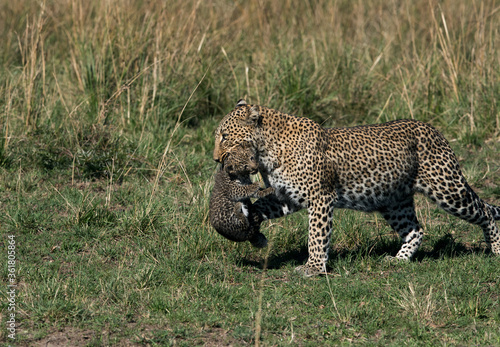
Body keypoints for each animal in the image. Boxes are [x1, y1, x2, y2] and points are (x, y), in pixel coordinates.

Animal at [213, 99, 500, 278]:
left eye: (225, 137)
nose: (216, 159)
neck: (266, 152)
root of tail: (433, 128)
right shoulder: (289, 196)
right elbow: (261, 205)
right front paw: (249, 221)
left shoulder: (320, 197)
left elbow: (316, 236)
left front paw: (313, 268)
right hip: (394, 201)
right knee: (416, 230)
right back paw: (399, 259)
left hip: (448, 188)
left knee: (486, 212)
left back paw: (496, 250)